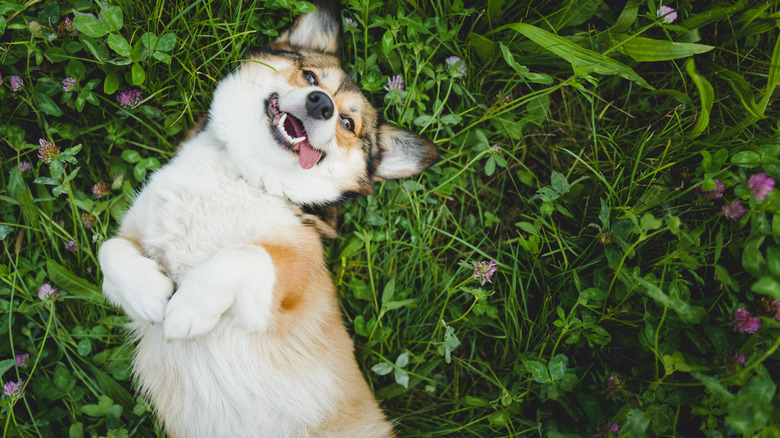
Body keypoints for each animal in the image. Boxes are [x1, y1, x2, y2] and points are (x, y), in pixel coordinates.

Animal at [97, 1, 438, 436]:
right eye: (310, 77)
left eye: (347, 124)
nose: (321, 104)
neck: (245, 174)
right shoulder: (135, 232)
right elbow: (110, 249)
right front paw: (148, 294)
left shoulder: (292, 282)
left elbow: (244, 254)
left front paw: (188, 308)